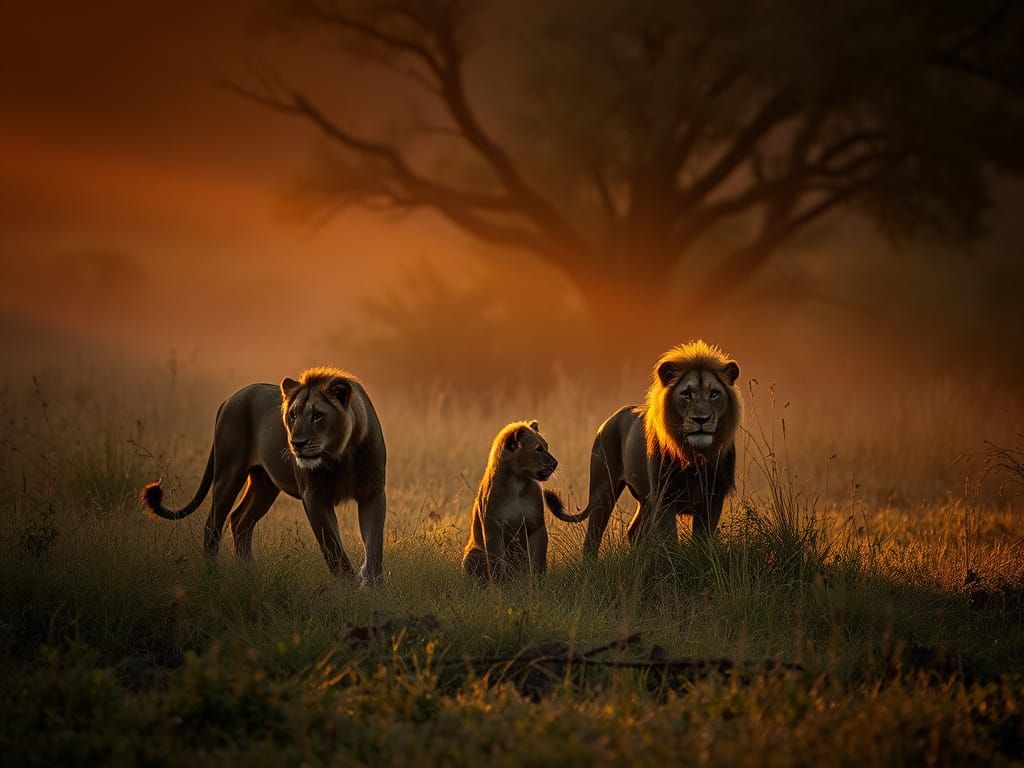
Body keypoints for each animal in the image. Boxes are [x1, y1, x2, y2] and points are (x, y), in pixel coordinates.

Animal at [142, 367, 387, 583]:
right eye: (293, 415)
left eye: (318, 415)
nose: (296, 443)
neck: (341, 454)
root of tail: (230, 399)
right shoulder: (314, 497)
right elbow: (333, 548)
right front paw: (350, 587)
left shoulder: (372, 493)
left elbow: (374, 545)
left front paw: (372, 586)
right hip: (229, 473)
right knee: (213, 524)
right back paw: (213, 574)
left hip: (264, 485)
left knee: (240, 521)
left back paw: (250, 572)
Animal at [461, 420, 575, 581]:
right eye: (539, 449)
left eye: (547, 446)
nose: (555, 463)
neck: (516, 482)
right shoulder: (492, 527)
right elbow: (496, 562)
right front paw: (499, 585)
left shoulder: (536, 526)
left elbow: (536, 562)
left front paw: (534, 583)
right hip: (473, 553)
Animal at [566, 341, 741, 559]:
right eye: (687, 394)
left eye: (714, 393)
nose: (701, 419)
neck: (693, 456)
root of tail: (611, 418)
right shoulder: (665, 497)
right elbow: (670, 541)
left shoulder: (713, 496)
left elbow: (701, 541)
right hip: (603, 490)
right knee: (592, 539)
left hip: (646, 501)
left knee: (634, 531)